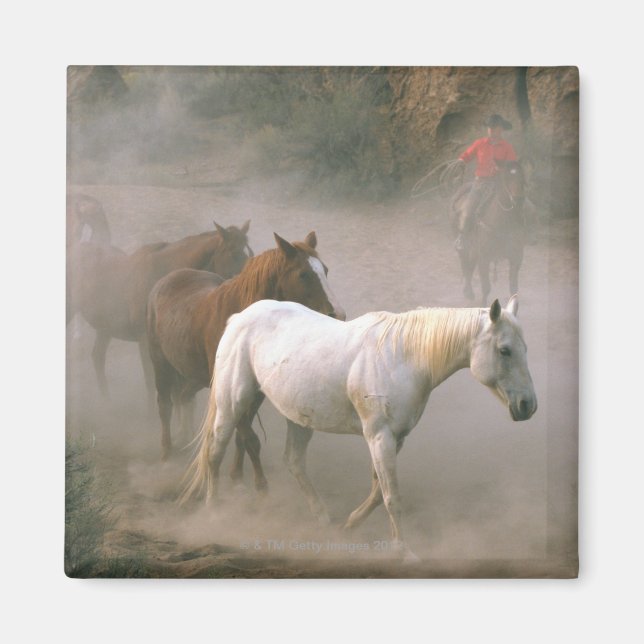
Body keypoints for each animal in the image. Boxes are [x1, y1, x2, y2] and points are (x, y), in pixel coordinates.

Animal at [67, 217, 252, 403]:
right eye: (233, 252)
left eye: (247, 253)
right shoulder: (145, 341)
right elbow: (152, 383)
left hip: (106, 326)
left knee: (97, 356)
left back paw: (106, 400)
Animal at [147, 231, 345, 464]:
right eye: (303, 274)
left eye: (325, 270)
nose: (338, 314)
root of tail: (166, 280)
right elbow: (246, 435)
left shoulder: (254, 394)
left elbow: (242, 437)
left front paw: (237, 473)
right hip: (160, 363)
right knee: (165, 405)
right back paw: (167, 451)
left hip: (195, 376)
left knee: (183, 396)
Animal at [181, 295, 537, 562]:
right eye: (504, 350)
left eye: (525, 349)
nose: (528, 406)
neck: (403, 358)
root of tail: (239, 317)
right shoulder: (379, 436)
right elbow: (392, 496)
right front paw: (403, 552)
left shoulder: (395, 438)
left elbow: (379, 491)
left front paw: (351, 526)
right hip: (233, 403)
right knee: (215, 452)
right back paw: (214, 515)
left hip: (299, 417)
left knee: (293, 461)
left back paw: (323, 517)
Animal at [450, 160, 527, 305]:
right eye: (506, 177)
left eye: (522, 176)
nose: (518, 199)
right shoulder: (484, 257)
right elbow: (486, 287)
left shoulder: (516, 257)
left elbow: (513, 287)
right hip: (465, 246)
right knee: (465, 264)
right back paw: (468, 292)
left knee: (470, 266)